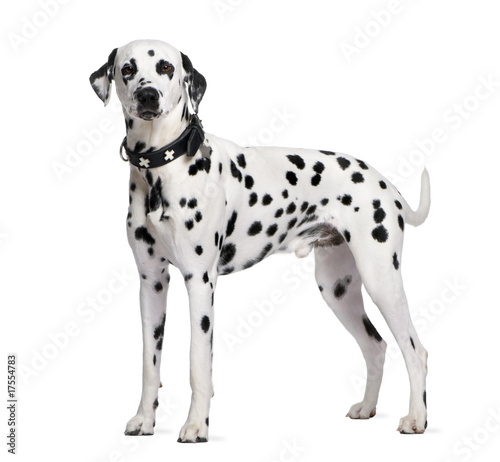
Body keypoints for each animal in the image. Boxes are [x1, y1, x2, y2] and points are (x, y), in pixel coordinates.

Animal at [89, 38, 430, 440]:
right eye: (127, 69)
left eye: (166, 68)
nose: (147, 95)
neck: (162, 170)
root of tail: (387, 185)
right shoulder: (151, 283)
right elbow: (149, 363)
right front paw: (144, 420)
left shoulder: (200, 282)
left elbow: (198, 364)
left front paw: (196, 426)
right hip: (337, 289)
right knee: (375, 346)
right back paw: (367, 408)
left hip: (381, 281)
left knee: (415, 351)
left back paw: (417, 419)